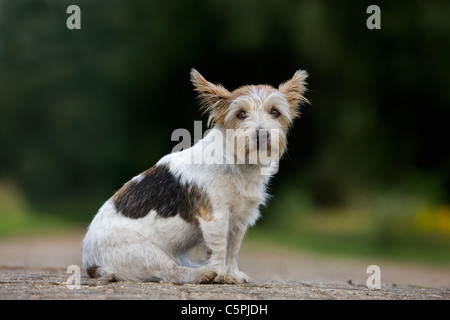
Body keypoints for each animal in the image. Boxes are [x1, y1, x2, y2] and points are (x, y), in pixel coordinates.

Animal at [81, 69, 310, 284]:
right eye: (240, 114)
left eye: (275, 112)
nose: (262, 134)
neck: (240, 163)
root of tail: (91, 265)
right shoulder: (215, 216)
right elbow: (220, 249)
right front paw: (221, 274)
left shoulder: (240, 220)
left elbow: (233, 249)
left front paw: (233, 273)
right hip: (146, 252)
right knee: (170, 271)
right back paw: (202, 274)